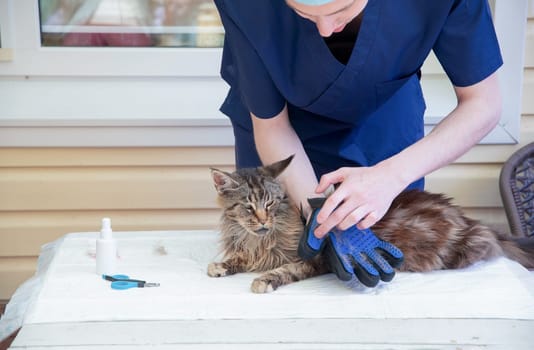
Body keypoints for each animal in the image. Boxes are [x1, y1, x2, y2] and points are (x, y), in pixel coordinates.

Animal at [208, 156, 534, 292]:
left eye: (271, 203)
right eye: (249, 206)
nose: (263, 220)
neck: (260, 239)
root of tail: (471, 222)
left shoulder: (312, 261)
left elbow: (285, 270)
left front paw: (264, 280)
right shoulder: (251, 249)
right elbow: (239, 259)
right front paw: (221, 265)